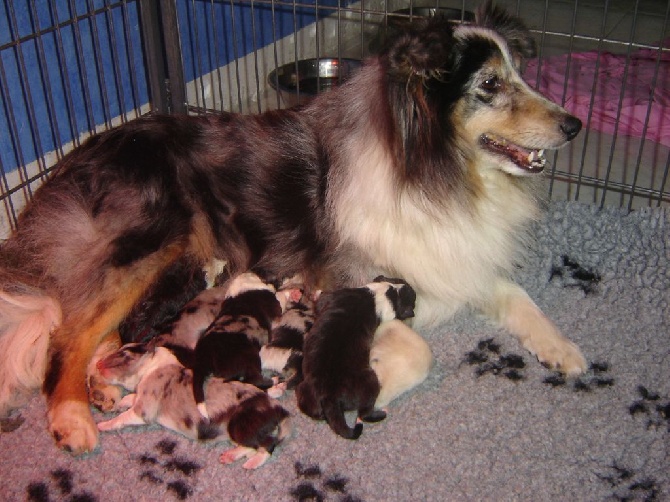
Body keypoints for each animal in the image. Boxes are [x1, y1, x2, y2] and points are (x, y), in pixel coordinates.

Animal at [96, 342, 292, 470]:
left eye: (124, 354)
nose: (97, 364)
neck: (153, 366)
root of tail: (279, 410)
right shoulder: (140, 397)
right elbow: (130, 397)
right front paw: (121, 402)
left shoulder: (143, 411)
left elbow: (121, 418)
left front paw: (102, 425)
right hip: (236, 431)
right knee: (251, 446)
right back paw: (230, 456)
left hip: (240, 425)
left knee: (268, 444)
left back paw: (251, 463)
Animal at [298, 278, 414, 440]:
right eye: (412, 301)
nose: (412, 288)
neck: (388, 293)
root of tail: (330, 396)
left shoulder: (331, 297)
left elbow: (321, 301)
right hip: (371, 382)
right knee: (364, 413)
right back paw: (380, 413)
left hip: (303, 390)